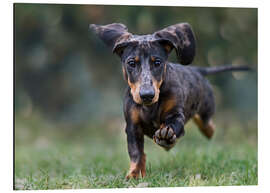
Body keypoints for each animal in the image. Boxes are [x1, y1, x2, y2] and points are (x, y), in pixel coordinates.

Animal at [89, 23, 250, 179]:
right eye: (131, 63)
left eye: (157, 62)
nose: (147, 95)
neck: (150, 106)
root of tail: (197, 70)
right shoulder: (132, 126)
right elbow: (136, 153)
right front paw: (135, 173)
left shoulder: (175, 114)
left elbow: (173, 123)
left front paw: (166, 135)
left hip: (206, 109)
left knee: (207, 124)